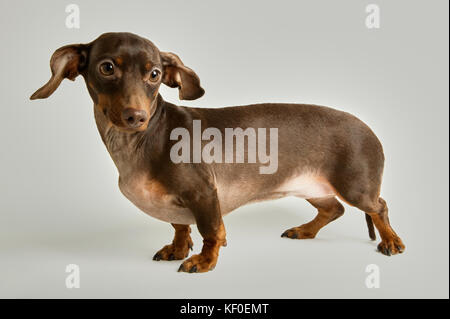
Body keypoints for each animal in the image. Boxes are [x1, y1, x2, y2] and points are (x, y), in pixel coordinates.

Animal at [30, 31, 404, 272]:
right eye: (107, 67)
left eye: (155, 74)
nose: (136, 117)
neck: (143, 140)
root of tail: (370, 130)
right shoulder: (177, 204)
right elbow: (180, 226)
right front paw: (178, 248)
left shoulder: (204, 193)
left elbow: (212, 231)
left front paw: (204, 260)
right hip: (311, 187)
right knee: (334, 210)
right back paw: (305, 231)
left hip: (356, 188)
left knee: (379, 207)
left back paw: (391, 241)